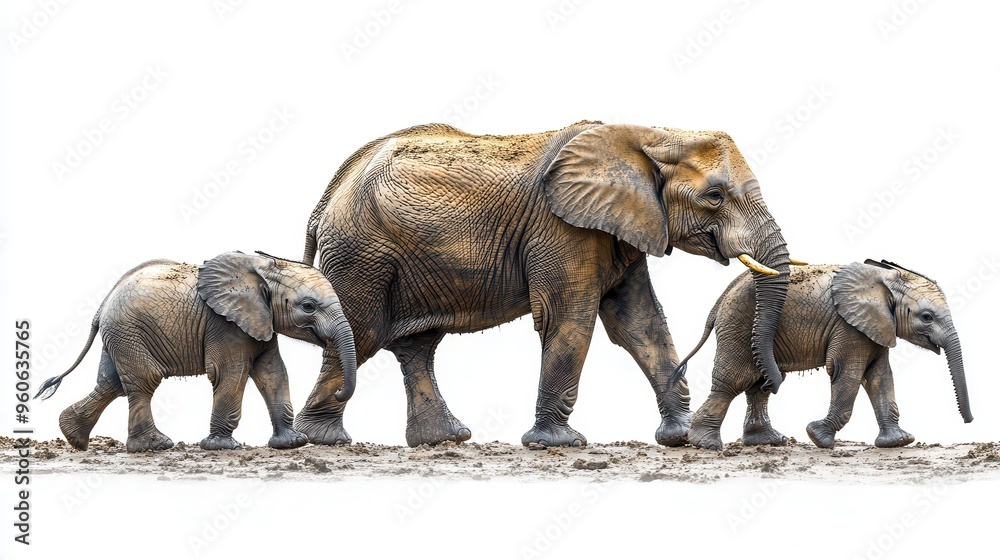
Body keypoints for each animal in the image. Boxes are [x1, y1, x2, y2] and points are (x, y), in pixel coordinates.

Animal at [34, 251, 357, 452]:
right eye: (308, 306)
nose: (340, 392)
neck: (263, 267)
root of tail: (102, 304)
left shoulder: (260, 322)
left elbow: (273, 373)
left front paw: (292, 443)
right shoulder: (226, 325)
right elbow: (230, 373)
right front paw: (222, 447)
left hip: (120, 334)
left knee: (111, 383)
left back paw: (74, 438)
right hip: (129, 331)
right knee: (143, 381)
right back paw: (155, 446)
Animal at [294, 120, 793, 448]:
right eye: (715, 196)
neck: (651, 133)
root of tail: (327, 196)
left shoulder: (621, 227)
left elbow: (639, 322)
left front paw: (679, 437)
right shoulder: (564, 229)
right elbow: (571, 318)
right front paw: (558, 443)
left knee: (417, 345)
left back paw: (444, 439)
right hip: (362, 253)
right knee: (362, 331)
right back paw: (324, 439)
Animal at [671, 259, 973, 450]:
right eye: (927, 317)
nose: (969, 421)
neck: (883, 280)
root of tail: (722, 296)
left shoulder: (876, 326)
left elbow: (879, 377)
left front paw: (898, 441)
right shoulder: (849, 326)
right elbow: (848, 374)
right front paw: (819, 438)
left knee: (761, 383)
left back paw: (768, 441)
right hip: (739, 323)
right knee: (736, 380)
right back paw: (706, 444)